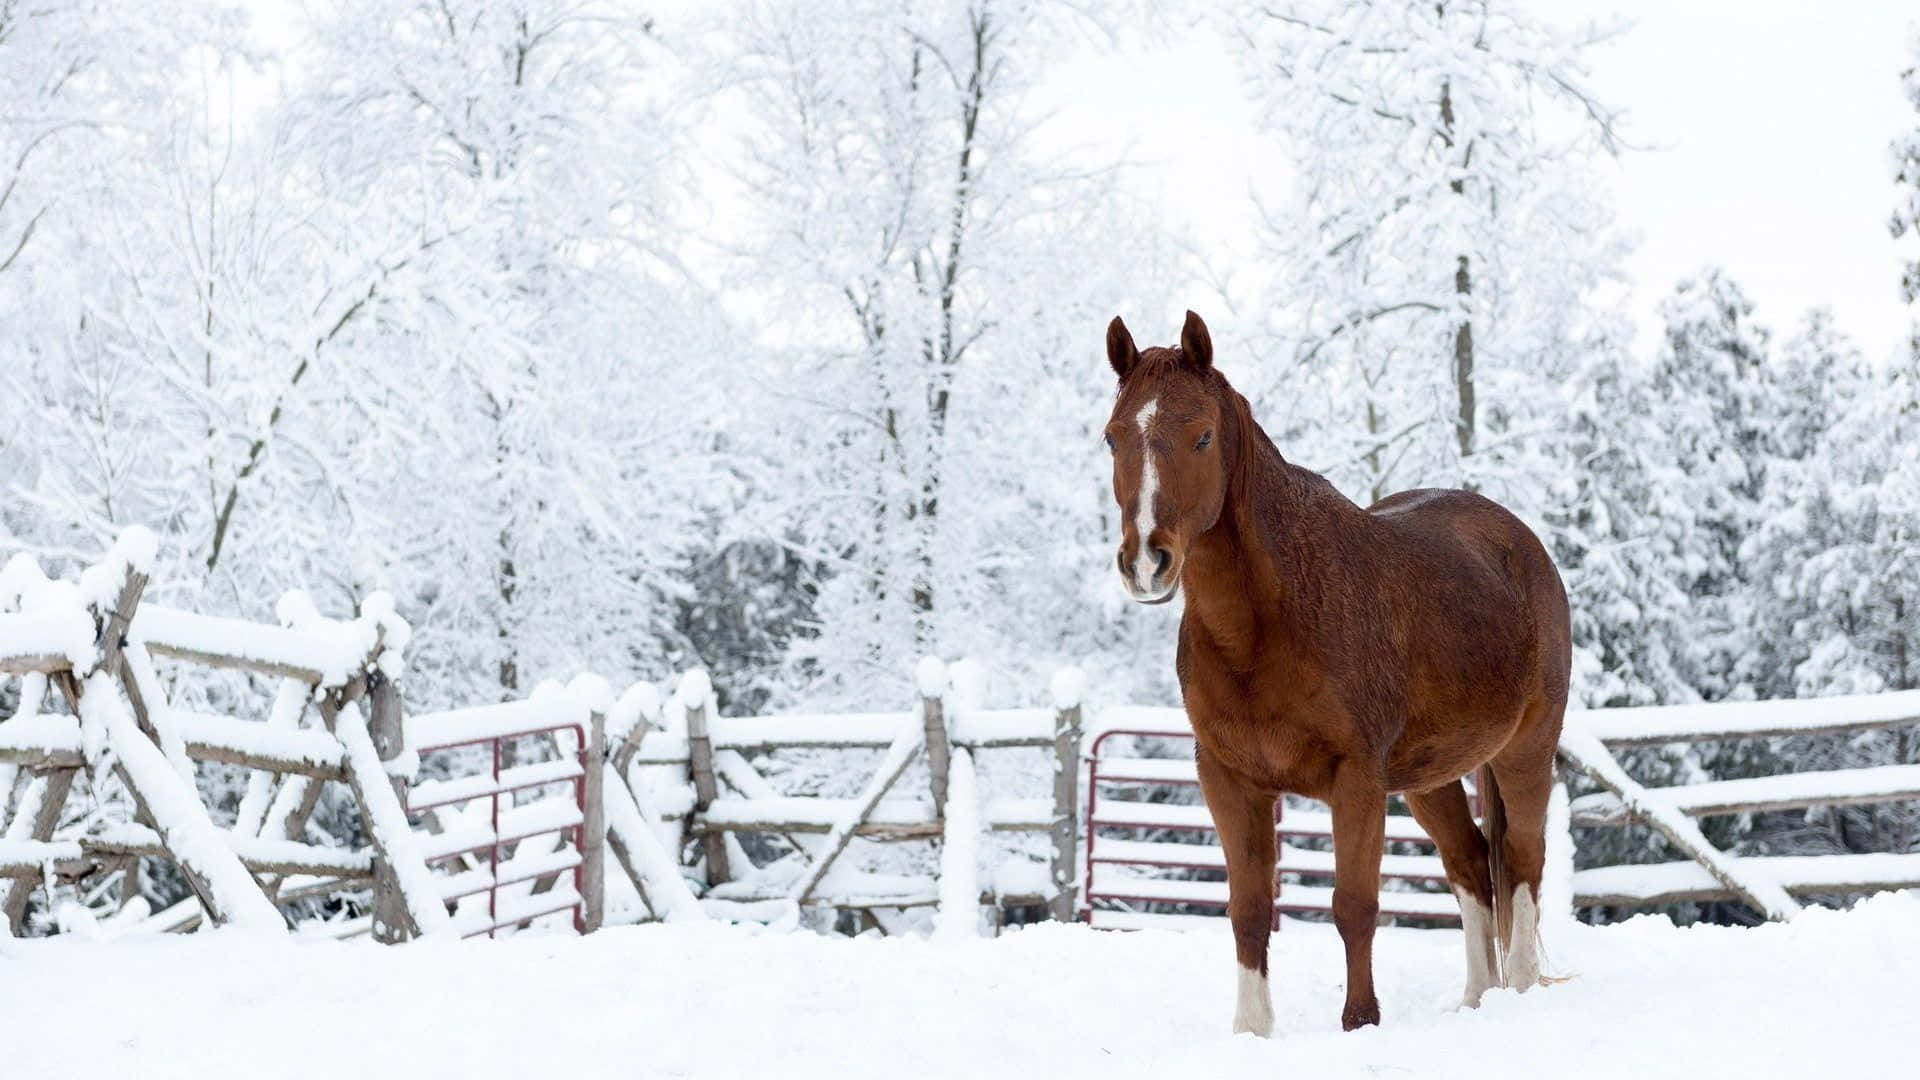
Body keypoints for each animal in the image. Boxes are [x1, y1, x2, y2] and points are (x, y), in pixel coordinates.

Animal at [1100, 311, 1570, 1037]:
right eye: (1112, 437)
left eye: (1201, 435)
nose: (1147, 561)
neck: (1268, 622)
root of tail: (1521, 542)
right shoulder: (1230, 780)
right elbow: (1249, 911)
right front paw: (1252, 1030)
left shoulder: (1356, 780)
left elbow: (1354, 906)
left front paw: (1360, 1022)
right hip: (1428, 778)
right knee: (1470, 864)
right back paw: (1476, 998)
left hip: (1526, 748)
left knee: (1521, 860)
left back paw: (1515, 992)